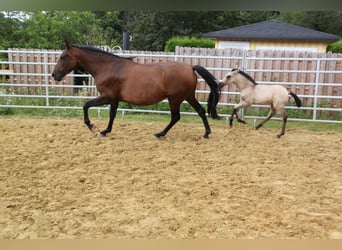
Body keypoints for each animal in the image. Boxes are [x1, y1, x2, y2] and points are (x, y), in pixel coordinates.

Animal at [52, 41, 220, 138]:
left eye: (63, 57)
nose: (54, 75)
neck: (108, 67)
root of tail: (191, 67)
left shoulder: (108, 97)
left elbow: (86, 105)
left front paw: (93, 127)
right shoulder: (114, 99)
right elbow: (112, 114)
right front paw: (105, 131)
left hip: (175, 99)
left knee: (176, 117)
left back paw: (160, 134)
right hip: (188, 96)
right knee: (200, 111)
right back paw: (206, 133)